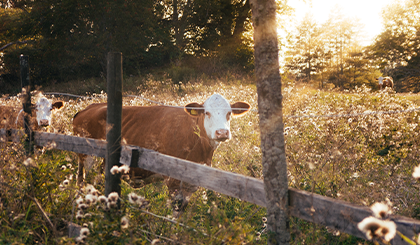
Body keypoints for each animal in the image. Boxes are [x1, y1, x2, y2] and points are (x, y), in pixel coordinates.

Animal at [72, 94, 251, 216]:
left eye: (229, 113)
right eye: (206, 113)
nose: (222, 132)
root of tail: (87, 108)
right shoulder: (172, 179)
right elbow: (175, 208)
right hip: (86, 157)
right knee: (83, 181)